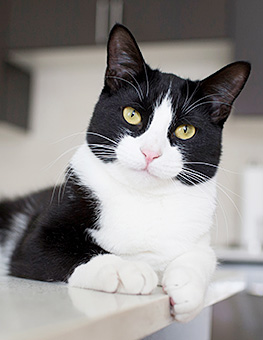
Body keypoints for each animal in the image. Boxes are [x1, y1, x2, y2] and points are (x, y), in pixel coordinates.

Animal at [0, 23, 252, 322]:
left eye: (185, 130)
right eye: (132, 114)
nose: (150, 152)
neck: (143, 199)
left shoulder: (198, 235)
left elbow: (204, 255)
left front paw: (187, 288)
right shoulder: (33, 240)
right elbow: (68, 249)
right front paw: (125, 269)